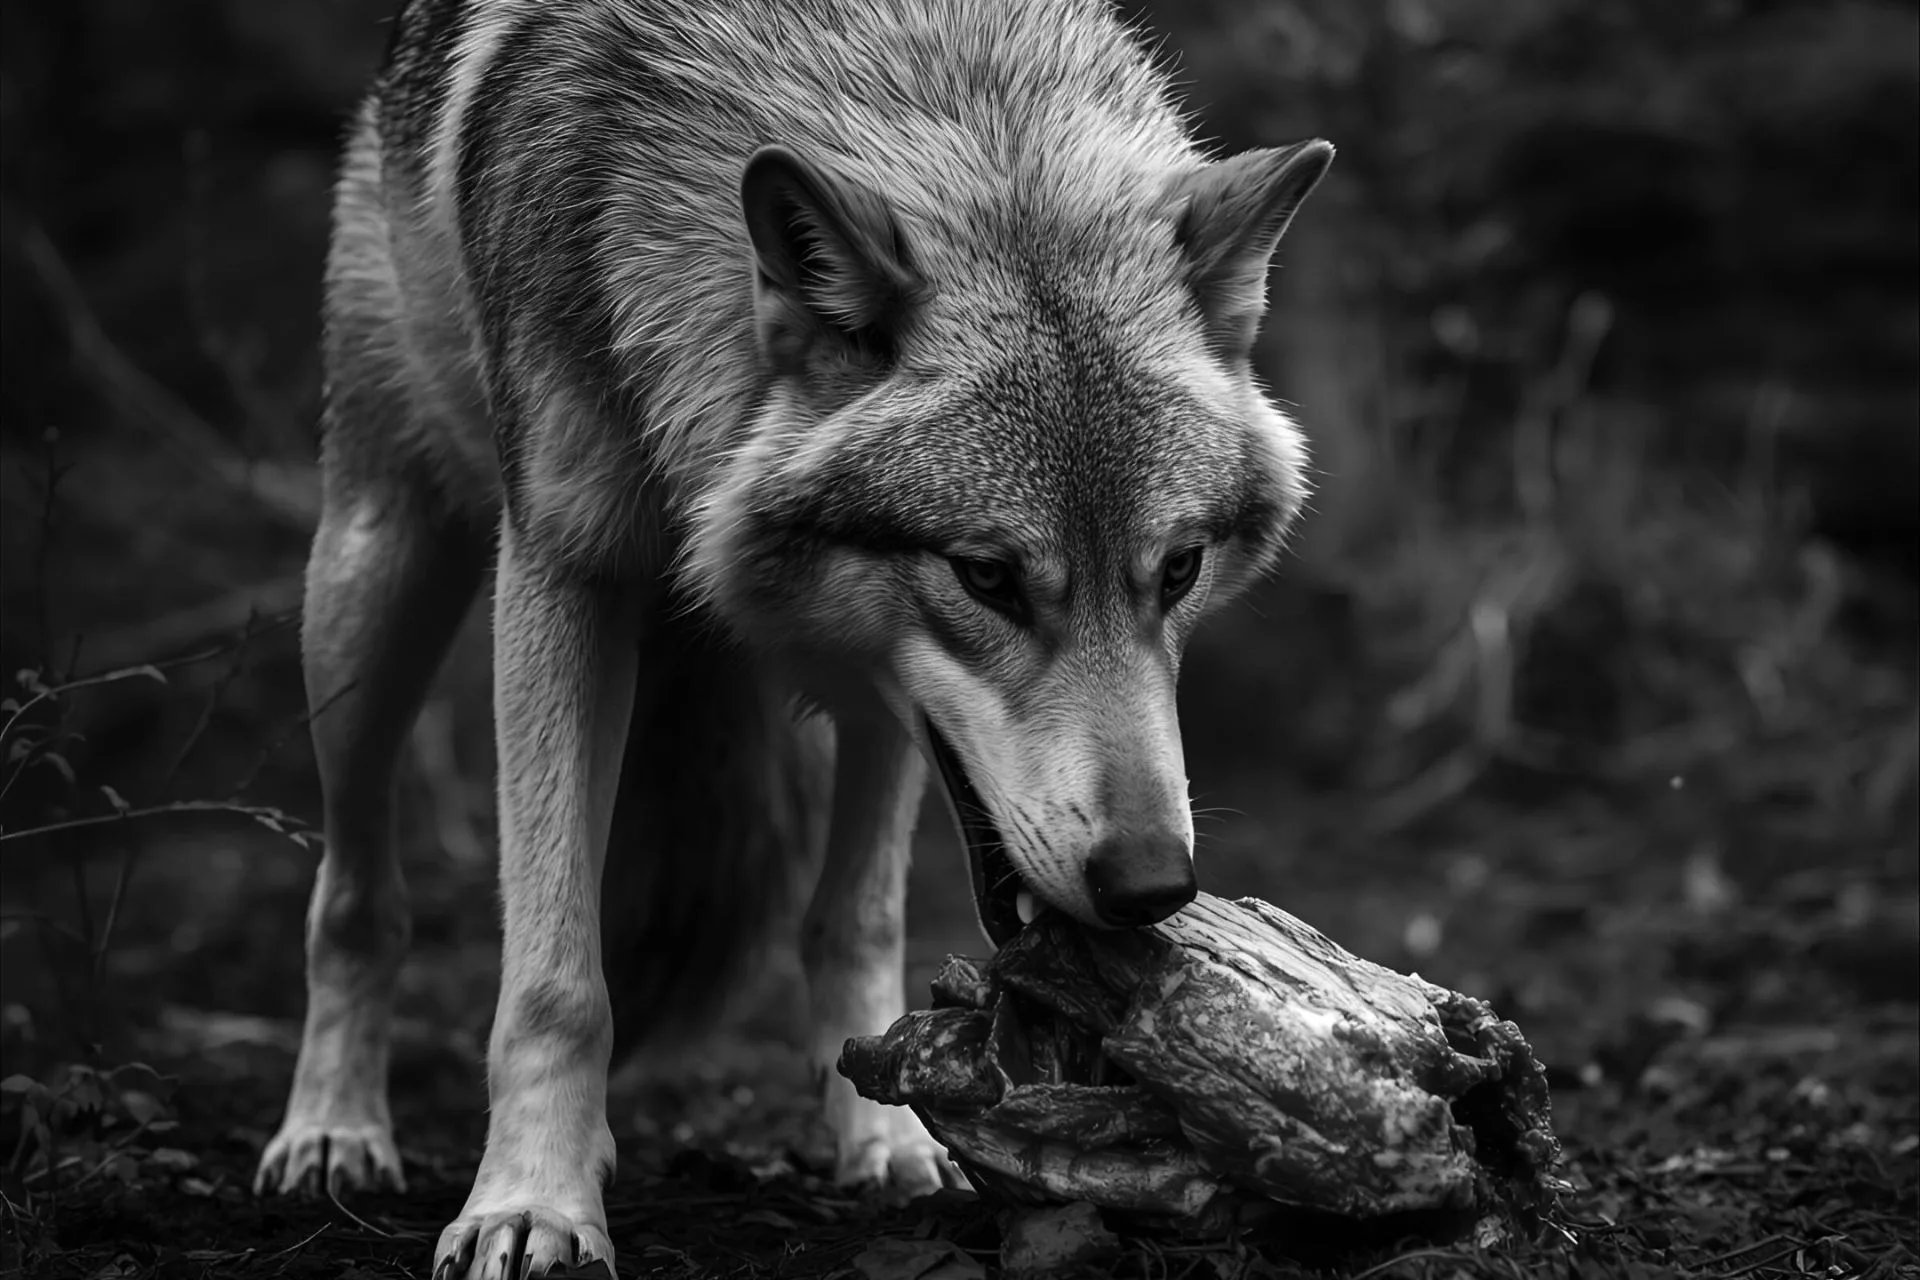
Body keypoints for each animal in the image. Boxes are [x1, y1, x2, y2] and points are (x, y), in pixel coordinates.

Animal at [249, 0, 1331, 1274]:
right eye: (988, 576)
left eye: (1177, 570)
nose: (1153, 883)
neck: (925, 74)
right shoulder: (563, 570)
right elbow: (555, 978)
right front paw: (531, 1204)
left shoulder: (890, 692)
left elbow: (855, 917)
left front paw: (895, 1145)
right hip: (377, 581)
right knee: (355, 892)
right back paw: (332, 1129)